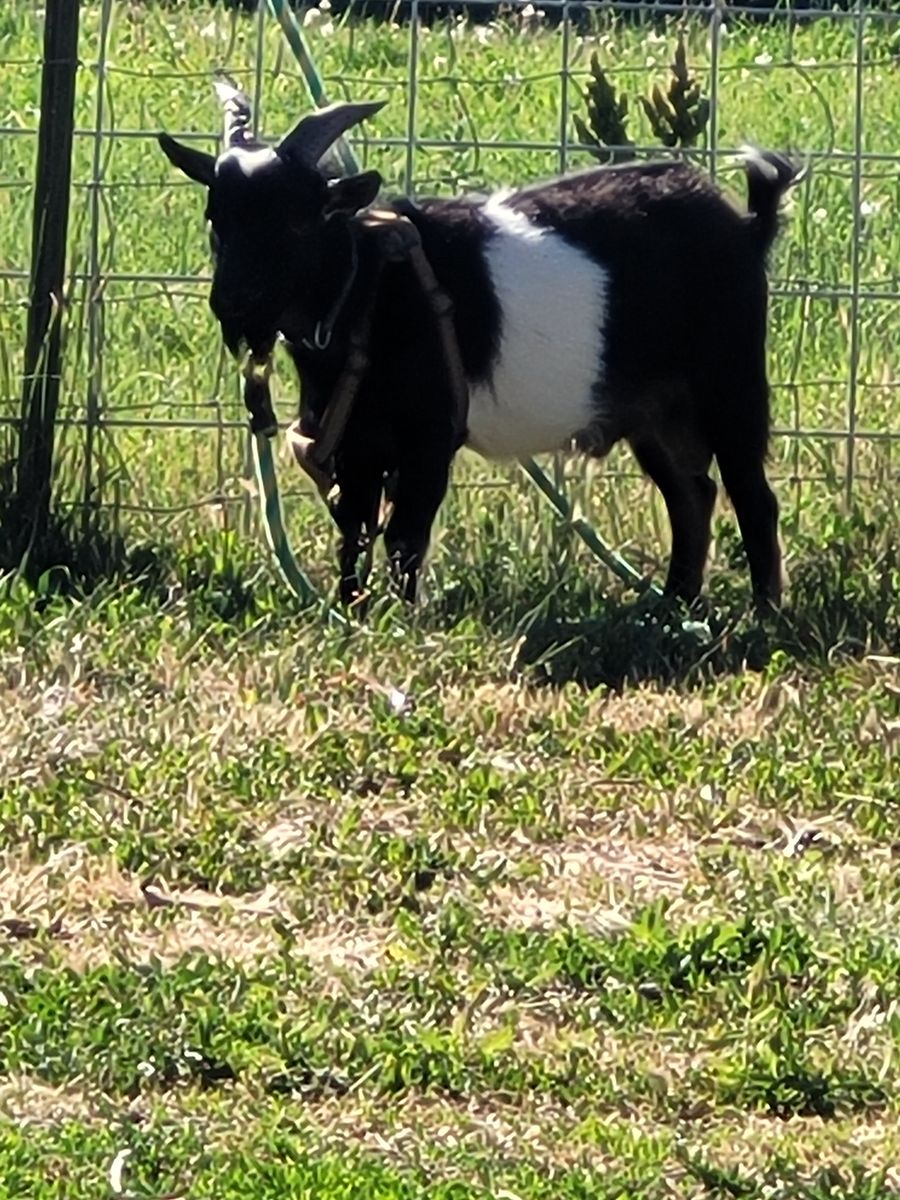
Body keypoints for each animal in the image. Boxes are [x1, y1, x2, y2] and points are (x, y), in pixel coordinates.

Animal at [159, 86, 800, 610]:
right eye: (216, 217)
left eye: (298, 221)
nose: (233, 304)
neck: (369, 289)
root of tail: (748, 227)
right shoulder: (357, 445)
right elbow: (356, 534)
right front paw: (351, 616)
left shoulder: (428, 436)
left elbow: (405, 535)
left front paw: (398, 622)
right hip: (653, 410)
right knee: (691, 493)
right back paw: (673, 608)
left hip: (729, 382)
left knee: (751, 495)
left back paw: (762, 613)